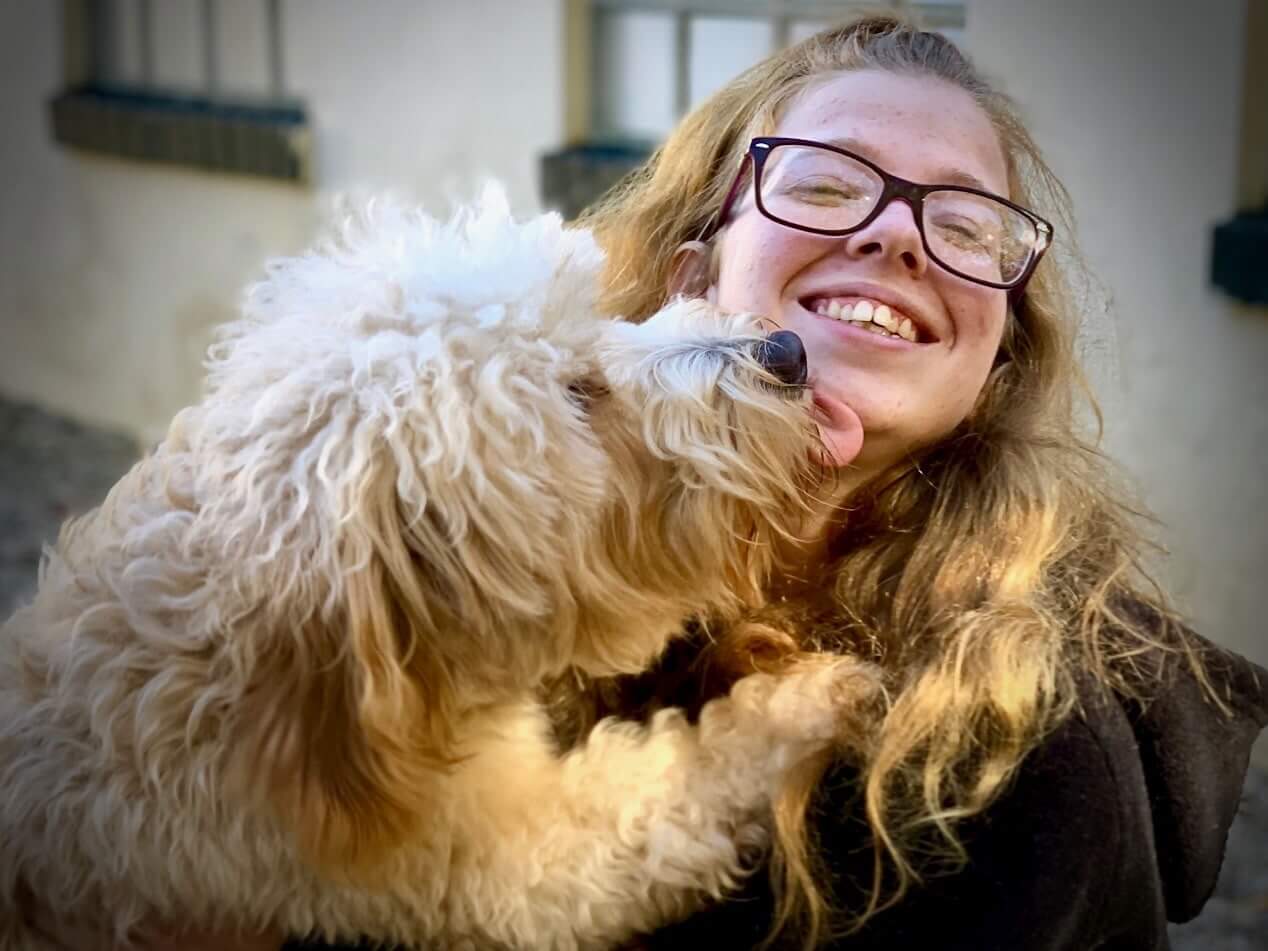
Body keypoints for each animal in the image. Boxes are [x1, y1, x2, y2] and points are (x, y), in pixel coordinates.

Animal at [0, 190, 877, 948]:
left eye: (603, 319)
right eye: (579, 393)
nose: (785, 351)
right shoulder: (479, 861)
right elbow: (669, 791)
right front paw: (801, 704)